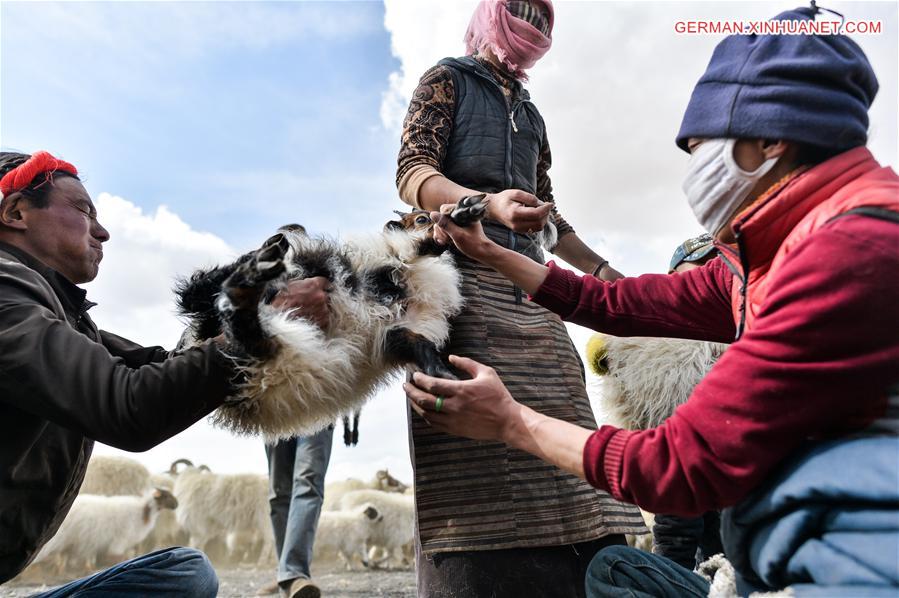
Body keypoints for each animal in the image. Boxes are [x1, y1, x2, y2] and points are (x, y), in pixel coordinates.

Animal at [33, 490, 178, 576]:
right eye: (166, 495)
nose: (176, 504)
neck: (143, 513)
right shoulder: (120, 540)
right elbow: (118, 558)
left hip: (68, 542)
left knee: (62, 558)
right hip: (58, 540)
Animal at [172, 197, 488, 440]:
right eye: (421, 219)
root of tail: (199, 334)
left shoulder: (399, 331)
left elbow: (421, 345)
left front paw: (446, 377)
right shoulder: (386, 258)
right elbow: (415, 246)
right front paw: (465, 212)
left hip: (276, 355)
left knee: (245, 332)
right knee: (200, 293)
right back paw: (263, 259)